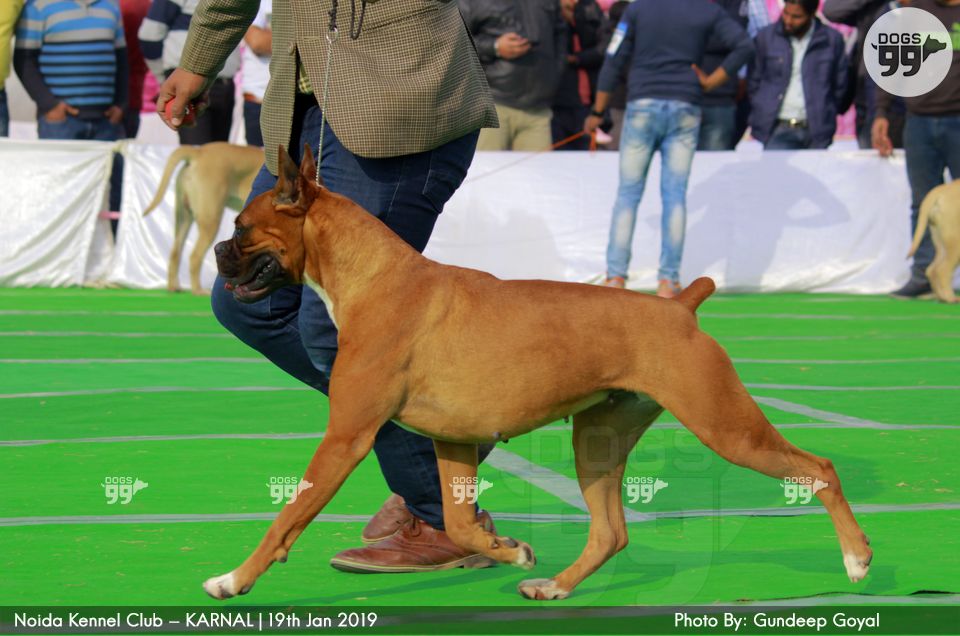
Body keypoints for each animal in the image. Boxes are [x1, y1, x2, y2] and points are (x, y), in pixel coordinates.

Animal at [143, 142, 264, 294]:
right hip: (210, 220)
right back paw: (198, 290)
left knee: (175, 252)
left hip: (184, 217)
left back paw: (174, 287)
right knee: (194, 256)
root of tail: (199, 152)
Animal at [206, 144, 872, 601]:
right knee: (610, 533)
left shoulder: (346, 437)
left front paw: (234, 579)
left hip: (726, 426)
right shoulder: (451, 442)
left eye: (242, 227)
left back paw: (857, 559)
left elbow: (289, 516)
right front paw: (507, 550)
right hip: (599, 442)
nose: (216, 249)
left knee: (819, 468)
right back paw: (555, 586)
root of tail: (680, 306)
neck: (376, 277)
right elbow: (459, 522)